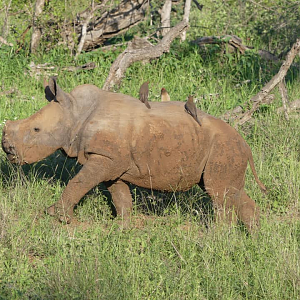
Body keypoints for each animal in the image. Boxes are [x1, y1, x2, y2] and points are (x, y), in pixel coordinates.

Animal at [1, 78, 264, 231]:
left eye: (36, 130)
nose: (8, 149)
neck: (75, 112)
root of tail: (246, 145)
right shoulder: (112, 163)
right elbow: (120, 196)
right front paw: (121, 228)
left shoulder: (104, 158)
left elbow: (78, 182)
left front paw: (57, 216)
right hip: (228, 149)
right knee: (231, 190)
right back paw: (252, 236)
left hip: (224, 146)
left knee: (218, 193)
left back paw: (215, 237)